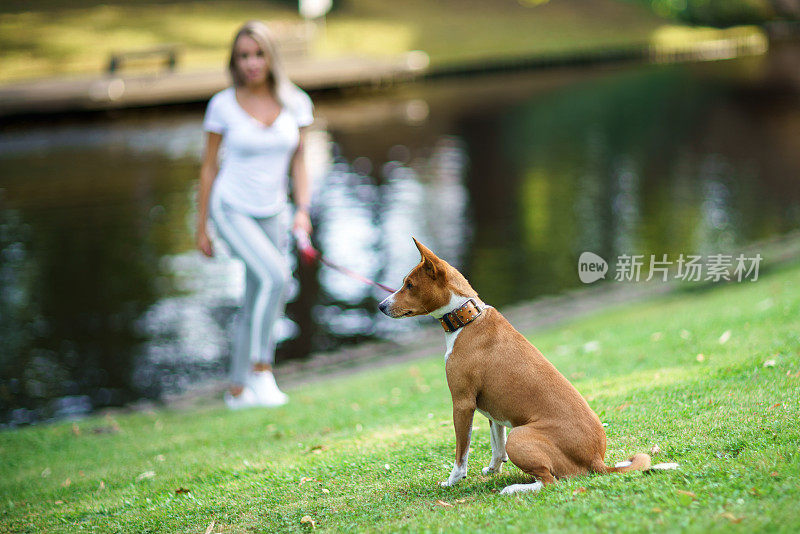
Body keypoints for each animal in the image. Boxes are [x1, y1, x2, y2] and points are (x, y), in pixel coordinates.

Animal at [376, 241, 676, 496]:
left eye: (409, 284)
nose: (380, 306)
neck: (467, 319)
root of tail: (596, 459)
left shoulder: (462, 404)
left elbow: (461, 454)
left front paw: (452, 481)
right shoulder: (493, 410)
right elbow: (497, 448)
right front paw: (493, 470)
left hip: (520, 436)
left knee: (550, 482)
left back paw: (514, 489)